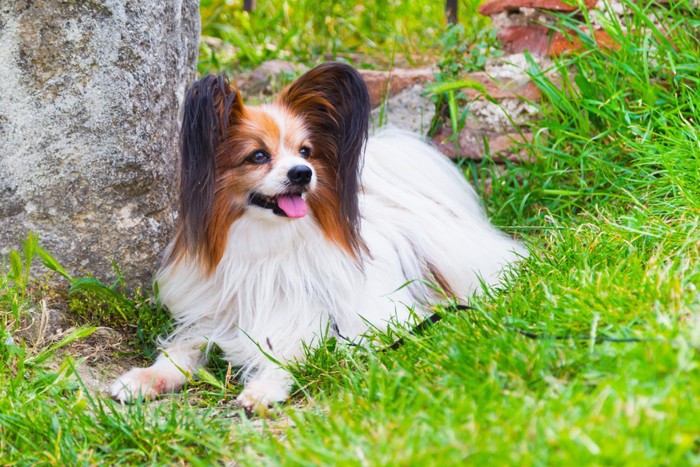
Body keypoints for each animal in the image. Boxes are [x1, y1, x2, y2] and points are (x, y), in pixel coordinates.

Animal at [109, 61, 524, 410]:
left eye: (306, 151)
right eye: (258, 156)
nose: (302, 173)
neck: (266, 244)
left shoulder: (319, 319)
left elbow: (287, 353)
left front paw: (263, 389)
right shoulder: (214, 316)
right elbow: (180, 350)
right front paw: (144, 379)